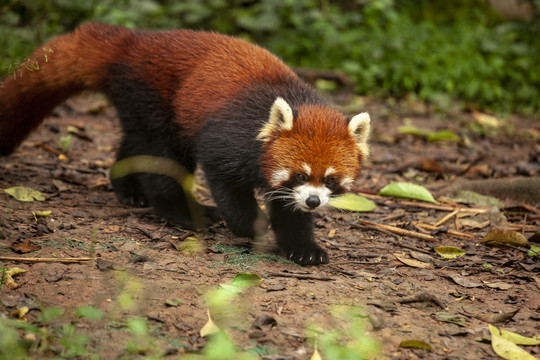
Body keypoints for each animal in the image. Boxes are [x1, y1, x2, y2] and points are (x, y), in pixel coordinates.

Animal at [0, 22, 370, 264]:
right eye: (300, 175)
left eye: (330, 180)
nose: (313, 201)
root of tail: (132, 41)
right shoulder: (228, 141)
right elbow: (227, 188)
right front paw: (251, 225)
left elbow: (289, 211)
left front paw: (303, 247)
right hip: (154, 99)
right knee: (161, 158)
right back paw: (182, 212)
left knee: (134, 145)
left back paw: (128, 190)